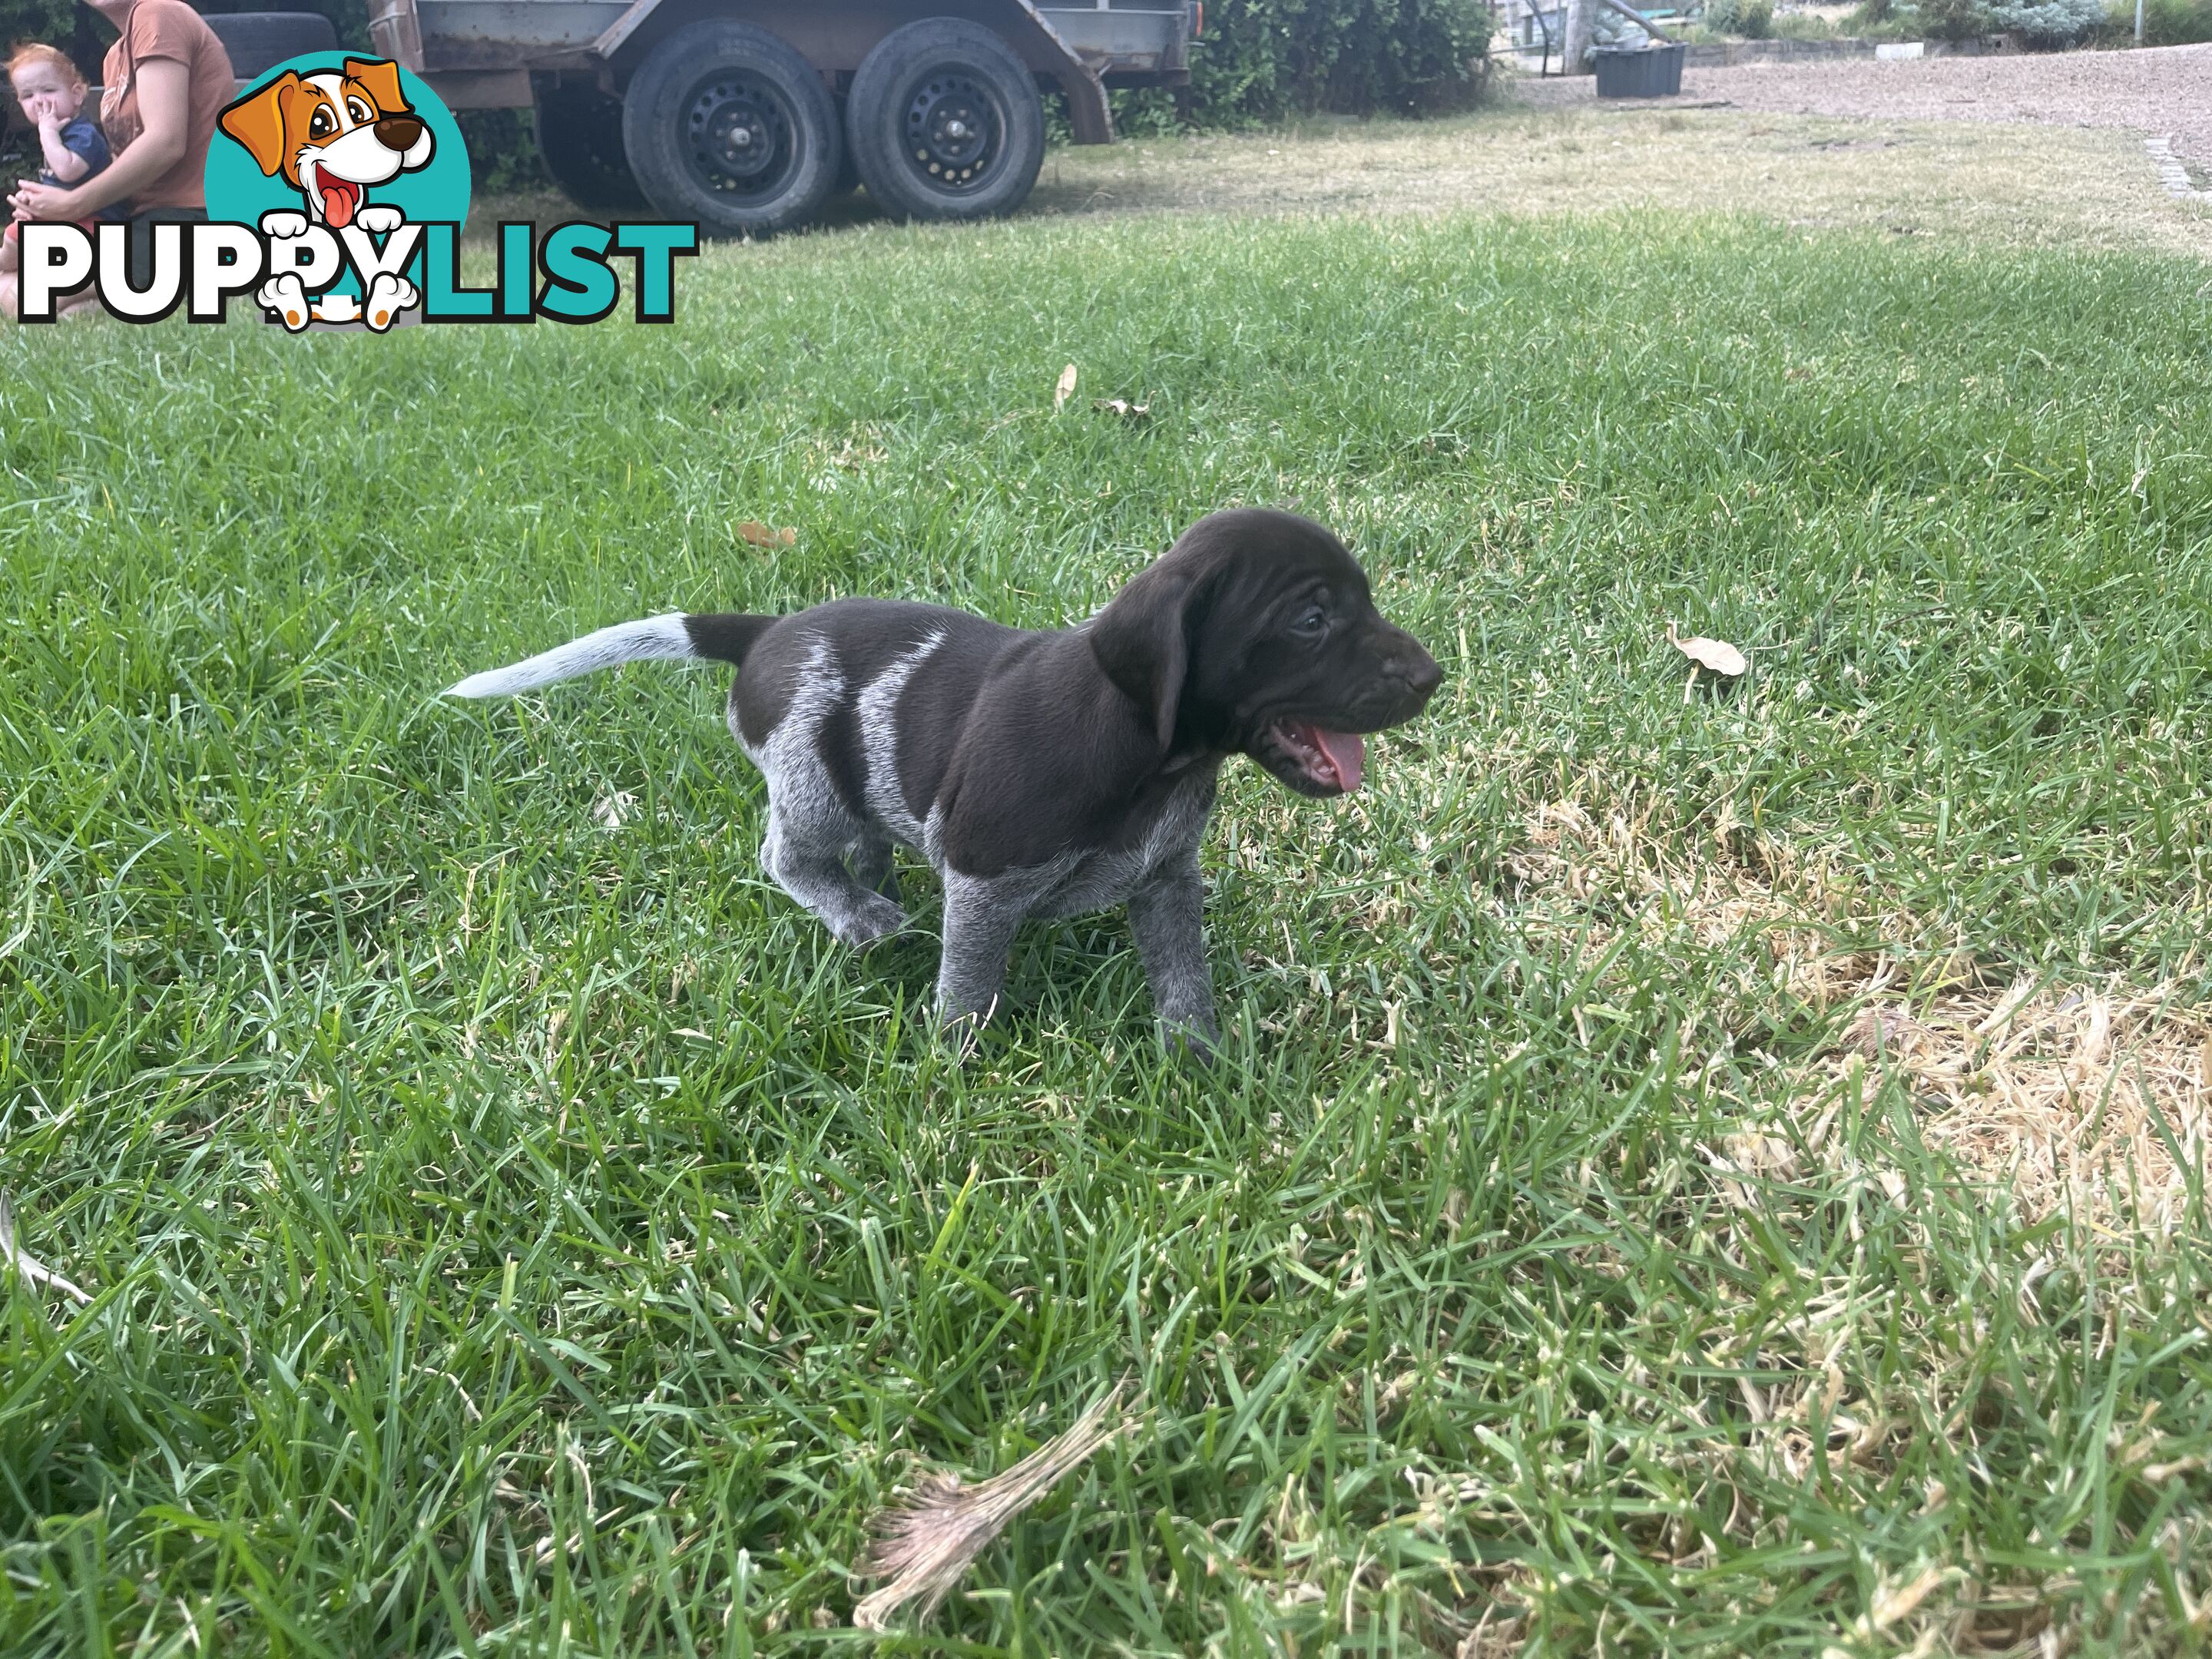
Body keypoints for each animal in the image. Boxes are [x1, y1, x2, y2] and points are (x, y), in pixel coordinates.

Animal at [451, 511, 1451, 1052]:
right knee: (786, 855)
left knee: (861, 842)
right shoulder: (983, 876)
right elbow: (969, 982)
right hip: (810, 777)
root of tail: (766, 632)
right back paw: (858, 912)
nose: (1434, 677)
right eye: (1312, 619)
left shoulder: (1167, 879)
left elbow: (1181, 975)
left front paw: (1197, 1055)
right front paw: (954, 1062)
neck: (1147, 753)